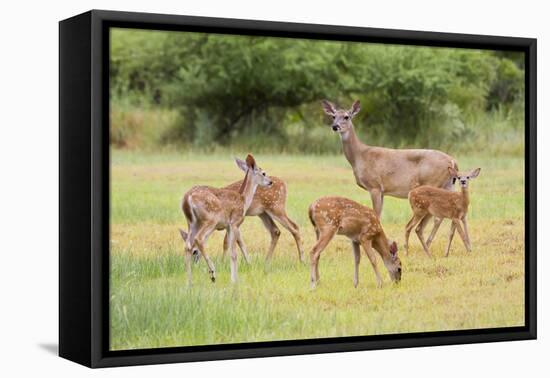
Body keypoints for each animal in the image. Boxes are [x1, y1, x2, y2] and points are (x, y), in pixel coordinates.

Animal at [180, 154, 272, 284]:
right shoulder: (235, 223)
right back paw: (212, 273)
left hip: (192, 222)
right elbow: (234, 253)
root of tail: (187, 198)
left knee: (188, 245)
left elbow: (231, 250)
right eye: (263, 173)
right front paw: (234, 280)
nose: (270, 181)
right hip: (210, 219)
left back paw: (189, 282)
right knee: (199, 239)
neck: (244, 199)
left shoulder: (228, 226)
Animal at [322, 99, 460, 248]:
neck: (360, 156)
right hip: (448, 186)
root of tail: (452, 161)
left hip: (433, 184)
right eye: (333, 116)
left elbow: (376, 215)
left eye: (347, 116)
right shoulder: (382, 191)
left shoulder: (374, 186)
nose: (335, 126)